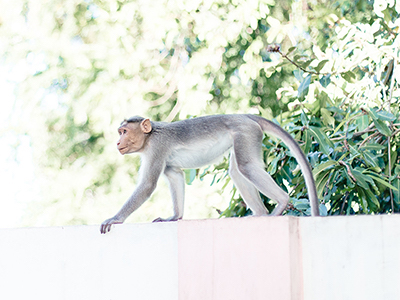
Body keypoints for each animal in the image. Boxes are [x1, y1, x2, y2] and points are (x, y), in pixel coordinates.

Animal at [100, 113, 318, 233]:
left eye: (124, 132)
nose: (117, 142)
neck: (150, 136)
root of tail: (245, 115)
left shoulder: (156, 149)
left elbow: (147, 185)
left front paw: (115, 218)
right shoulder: (163, 158)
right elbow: (175, 175)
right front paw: (175, 217)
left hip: (245, 132)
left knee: (246, 166)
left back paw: (281, 203)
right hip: (245, 135)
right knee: (237, 171)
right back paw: (261, 214)